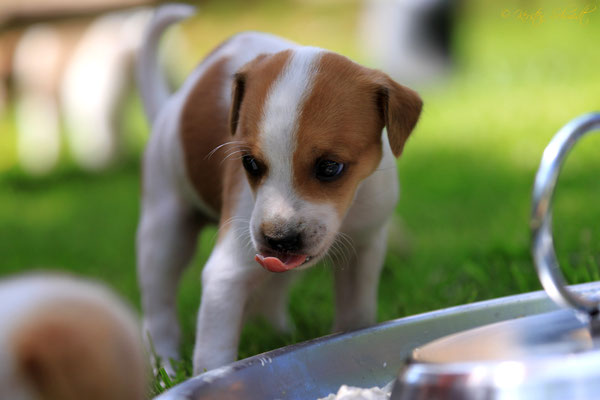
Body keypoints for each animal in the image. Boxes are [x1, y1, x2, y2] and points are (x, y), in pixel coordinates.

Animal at [136, 4, 422, 376]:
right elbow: (213, 355)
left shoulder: (365, 248)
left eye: (330, 167)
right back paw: (165, 367)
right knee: (158, 311)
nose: (278, 238)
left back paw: (277, 332)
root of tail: (171, 108)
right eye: (250, 164)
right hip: (165, 231)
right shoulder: (227, 272)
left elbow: (356, 313)